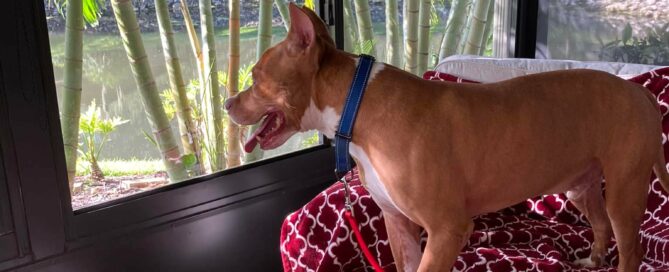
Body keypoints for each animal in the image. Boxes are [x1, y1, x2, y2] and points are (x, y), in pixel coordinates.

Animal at [226, 4, 668, 272]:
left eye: (256, 78)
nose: (229, 102)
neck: (357, 103)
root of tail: (639, 91)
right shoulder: (399, 225)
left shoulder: (447, 230)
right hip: (582, 186)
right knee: (601, 225)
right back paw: (593, 260)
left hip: (625, 190)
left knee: (631, 247)